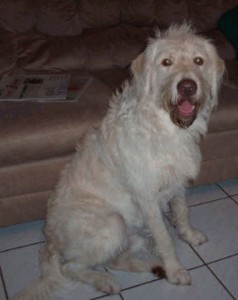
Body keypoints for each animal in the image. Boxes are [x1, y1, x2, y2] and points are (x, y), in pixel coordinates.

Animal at [15, 24, 224, 300]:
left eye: (198, 61)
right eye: (166, 62)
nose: (187, 87)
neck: (165, 126)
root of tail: (50, 239)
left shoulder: (176, 184)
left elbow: (182, 212)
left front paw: (188, 236)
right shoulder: (147, 199)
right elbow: (165, 239)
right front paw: (176, 270)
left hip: (132, 232)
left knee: (115, 260)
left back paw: (153, 267)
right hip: (114, 223)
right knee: (71, 266)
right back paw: (105, 280)